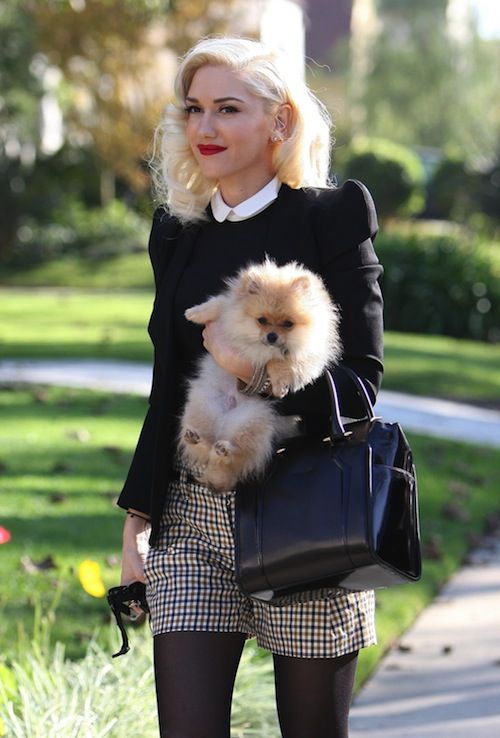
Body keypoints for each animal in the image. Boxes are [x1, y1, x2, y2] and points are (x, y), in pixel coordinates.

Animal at [178, 256, 342, 492]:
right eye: (262, 320)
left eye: (288, 324)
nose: (272, 336)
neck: (256, 341)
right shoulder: (230, 310)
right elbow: (219, 303)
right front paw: (195, 313)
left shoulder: (305, 354)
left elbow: (280, 362)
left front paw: (280, 382)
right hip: (203, 406)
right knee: (207, 450)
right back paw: (196, 438)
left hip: (255, 420)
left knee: (236, 456)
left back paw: (225, 449)